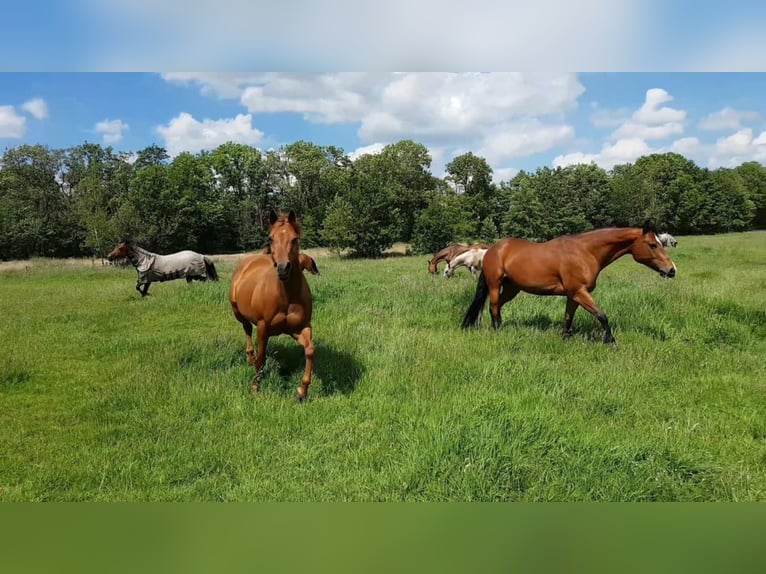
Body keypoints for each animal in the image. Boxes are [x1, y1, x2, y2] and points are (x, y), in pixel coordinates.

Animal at [228, 209, 316, 402]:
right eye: (271, 238)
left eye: (294, 238)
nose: (283, 268)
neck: (286, 296)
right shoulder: (263, 328)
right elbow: (261, 358)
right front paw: (255, 387)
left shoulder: (300, 327)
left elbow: (310, 350)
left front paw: (302, 391)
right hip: (238, 313)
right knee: (247, 329)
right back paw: (250, 357)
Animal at [462, 223, 680, 344]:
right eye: (652, 245)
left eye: (660, 243)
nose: (672, 270)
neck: (585, 251)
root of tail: (493, 249)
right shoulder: (579, 291)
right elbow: (602, 315)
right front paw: (611, 342)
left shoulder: (573, 295)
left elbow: (568, 317)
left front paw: (566, 338)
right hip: (495, 284)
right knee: (493, 307)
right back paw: (497, 330)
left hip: (512, 288)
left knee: (496, 307)